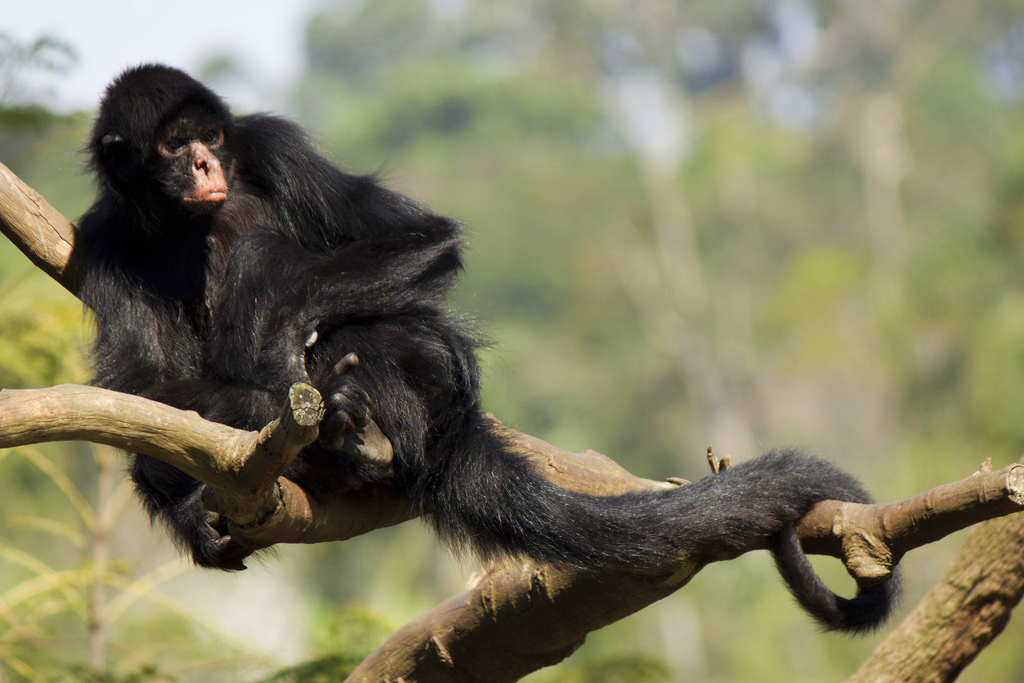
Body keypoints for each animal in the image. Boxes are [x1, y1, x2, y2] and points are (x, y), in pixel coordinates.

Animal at [77, 65, 897, 634]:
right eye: (175, 146)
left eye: (212, 139)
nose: (207, 166)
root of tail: (454, 427)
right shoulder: (102, 237)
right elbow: (135, 388)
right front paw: (231, 434)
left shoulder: (270, 143)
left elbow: (427, 238)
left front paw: (277, 350)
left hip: (425, 369)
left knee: (283, 272)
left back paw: (350, 432)